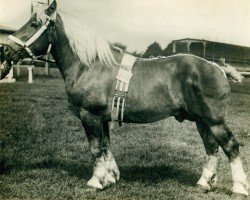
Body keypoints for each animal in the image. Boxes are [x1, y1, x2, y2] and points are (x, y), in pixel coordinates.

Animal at [0, 0, 248, 198]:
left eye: (34, 24)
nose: (6, 50)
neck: (90, 66)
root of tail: (217, 67)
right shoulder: (102, 118)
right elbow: (106, 146)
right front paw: (109, 178)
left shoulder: (89, 115)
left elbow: (95, 149)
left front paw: (95, 181)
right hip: (201, 120)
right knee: (212, 148)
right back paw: (204, 183)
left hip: (214, 120)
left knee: (230, 146)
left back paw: (239, 188)